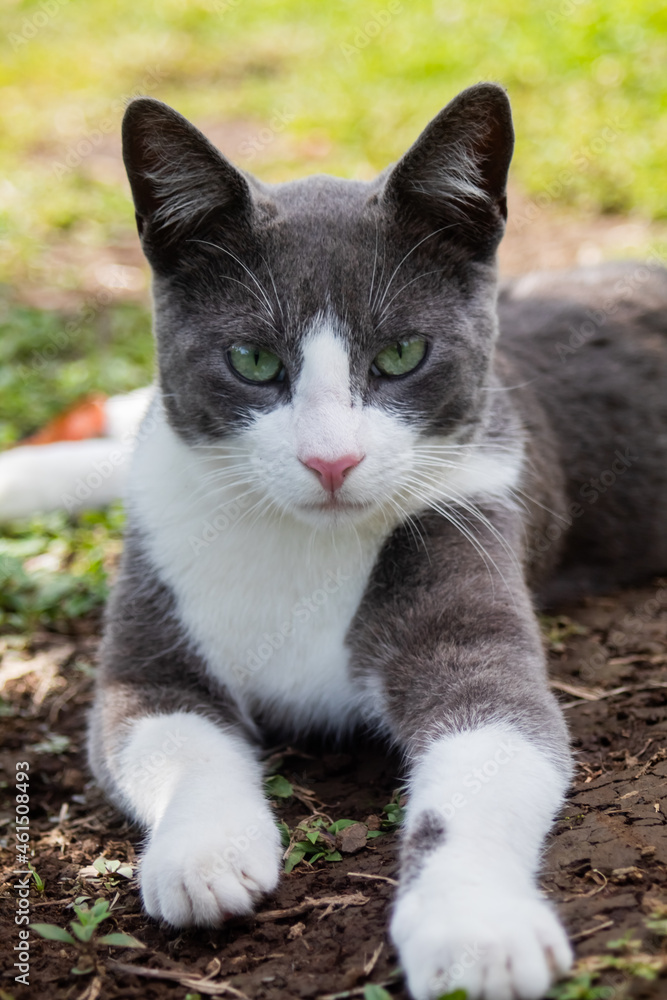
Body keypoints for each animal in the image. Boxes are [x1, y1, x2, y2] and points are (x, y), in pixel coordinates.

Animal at [87, 86, 667, 1000]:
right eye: (252, 360)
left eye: (401, 353)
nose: (331, 460)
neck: (302, 542)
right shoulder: (144, 642)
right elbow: (167, 732)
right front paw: (205, 855)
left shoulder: (472, 528)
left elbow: (491, 746)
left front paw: (474, 929)